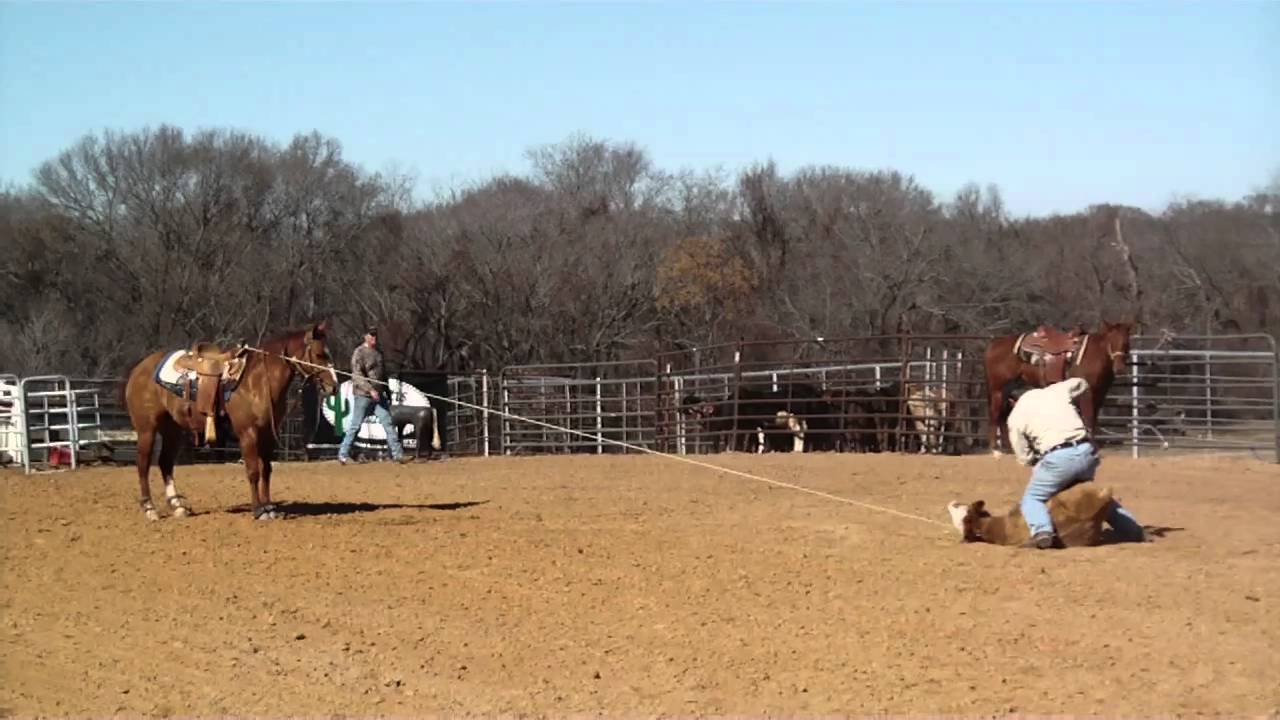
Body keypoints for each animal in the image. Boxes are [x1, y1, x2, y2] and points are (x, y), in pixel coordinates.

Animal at [122, 321, 339, 521]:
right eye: (320, 354)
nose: (334, 387)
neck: (258, 381)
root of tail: (139, 369)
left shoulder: (267, 433)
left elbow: (267, 470)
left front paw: (269, 507)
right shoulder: (248, 432)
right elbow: (253, 471)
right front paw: (258, 510)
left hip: (172, 430)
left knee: (165, 462)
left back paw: (178, 506)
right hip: (147, 429)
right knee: (143, 464)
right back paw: (150, 509)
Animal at [982, 320, 1134, 456]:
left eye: (1126, 343)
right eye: (1111, 341)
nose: (1119, 368)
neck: (1094, 355)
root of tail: (994, 345)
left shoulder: (1099, 395)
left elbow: (1093, 420)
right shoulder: (1088, 393)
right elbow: (1088, 419)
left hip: (1008, 389)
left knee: (1003, 415)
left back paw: (1009, 449)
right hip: (998, 389)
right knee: (995, 413)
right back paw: (995, 450)